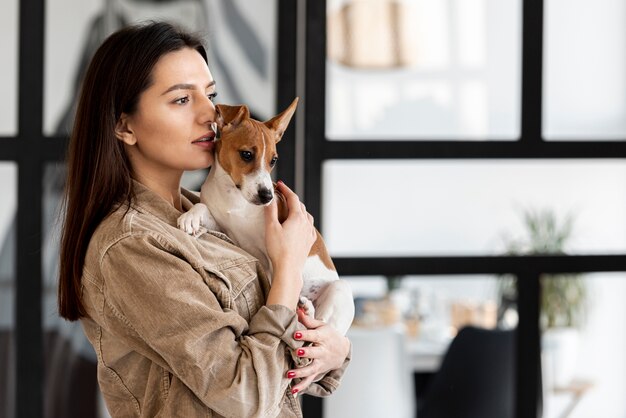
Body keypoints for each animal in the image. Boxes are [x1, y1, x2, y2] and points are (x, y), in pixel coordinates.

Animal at [178, 98, 354, 336]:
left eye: (273, 160)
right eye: (247, 154)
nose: (267, 196)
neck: (235, 199)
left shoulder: (272, 260)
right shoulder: (223, 227)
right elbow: (203, 207)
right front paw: (191, 217)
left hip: (339, 290)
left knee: (320, 326)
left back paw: (307, 311)